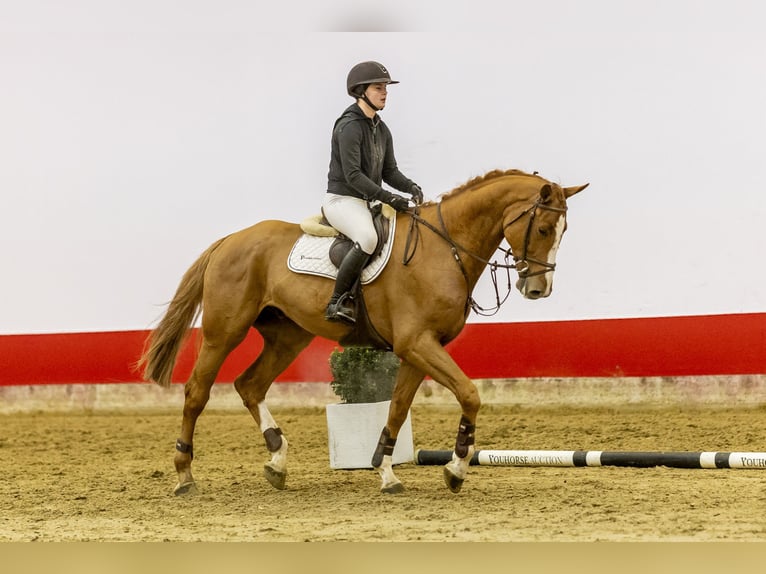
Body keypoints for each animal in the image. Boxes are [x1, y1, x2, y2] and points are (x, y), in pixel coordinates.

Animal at [141, 166, 592, 496]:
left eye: (563, 232)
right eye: (544, 229)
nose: (539, 289)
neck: (444, 248)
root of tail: (230, 240)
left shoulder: (417, 349)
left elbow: (397, 407)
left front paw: (388, 472)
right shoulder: (417, 343)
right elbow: (469, 394)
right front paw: (457, 468)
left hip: (288, 336)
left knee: (250, 385)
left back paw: (277, 461)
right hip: (224, 333)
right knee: (197, 392)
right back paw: (184, 475)